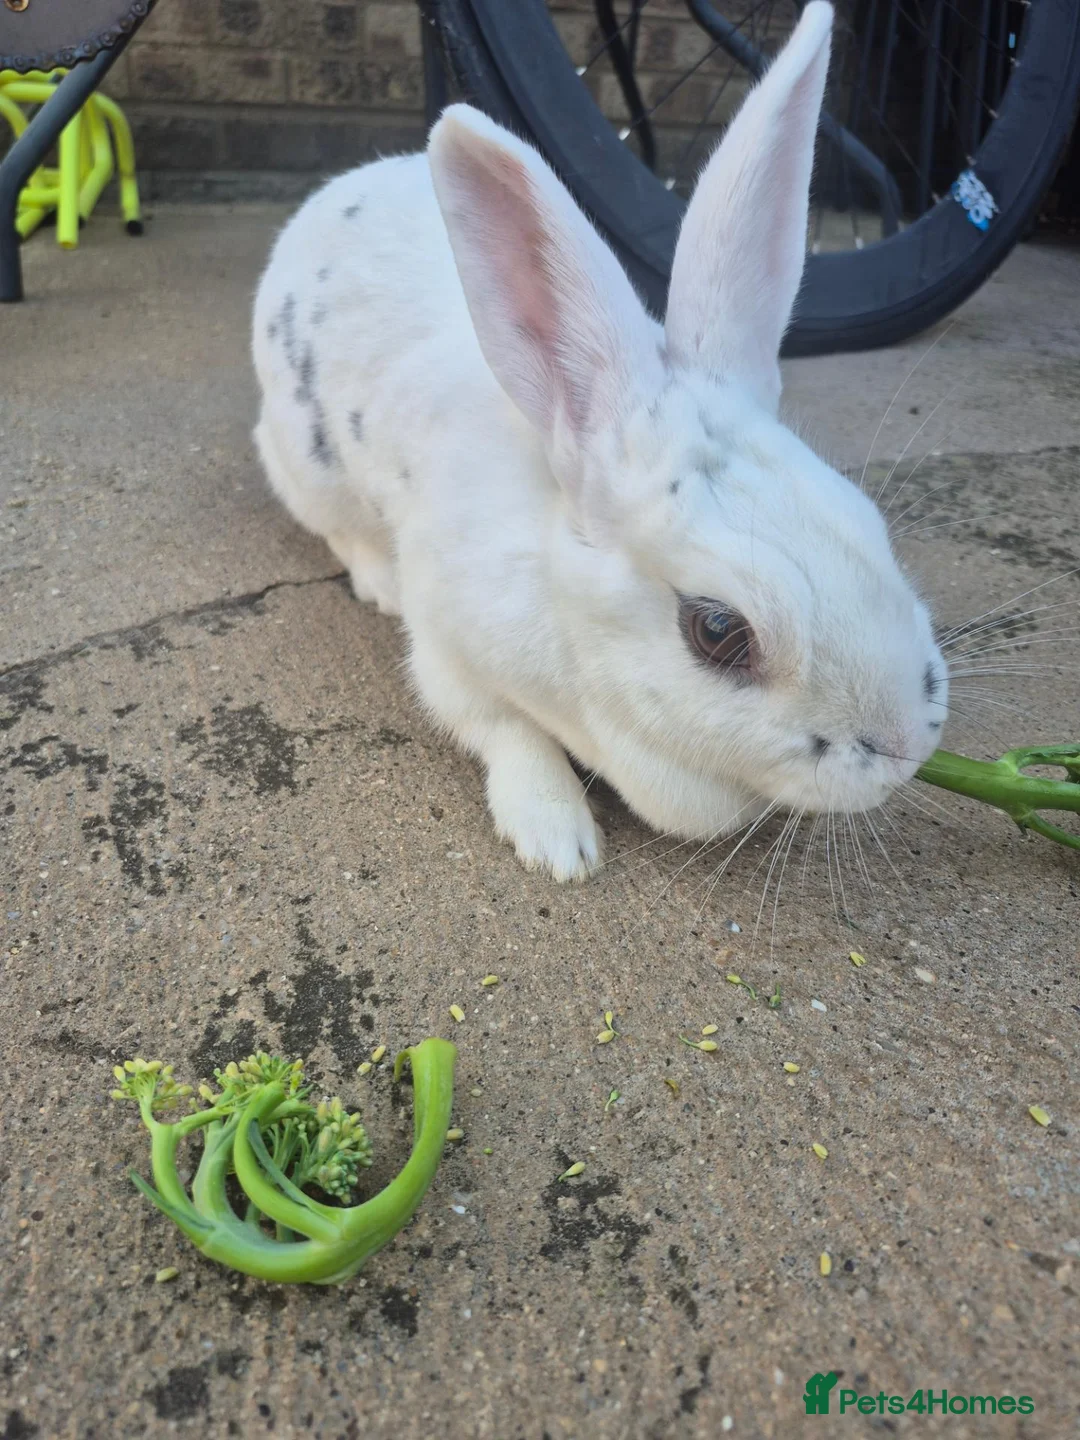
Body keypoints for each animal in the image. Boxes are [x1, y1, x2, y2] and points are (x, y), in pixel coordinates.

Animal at [251, 1, 948, 882]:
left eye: (870, 527)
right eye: (718, 632)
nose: (907, 745)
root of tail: (341, 189)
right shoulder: (449, 653)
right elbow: (505, 731)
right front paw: (558, 839)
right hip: (302, 462)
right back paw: (376, 580)